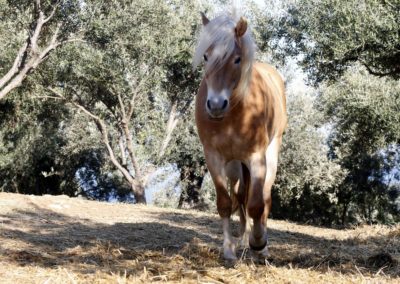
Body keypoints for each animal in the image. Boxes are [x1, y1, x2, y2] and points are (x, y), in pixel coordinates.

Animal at [192, 11, 286, 262]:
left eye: (236, 59)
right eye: (206, 56)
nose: (215, 105)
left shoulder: (256, 158)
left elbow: (257, 205)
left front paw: (258, 242)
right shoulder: (214, 158)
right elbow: (225, 203)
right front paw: (228, 249)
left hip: (270, 155)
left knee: (264, 198)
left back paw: (260, 245)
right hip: (234, 167)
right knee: (240, 195)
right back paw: (242, 239)